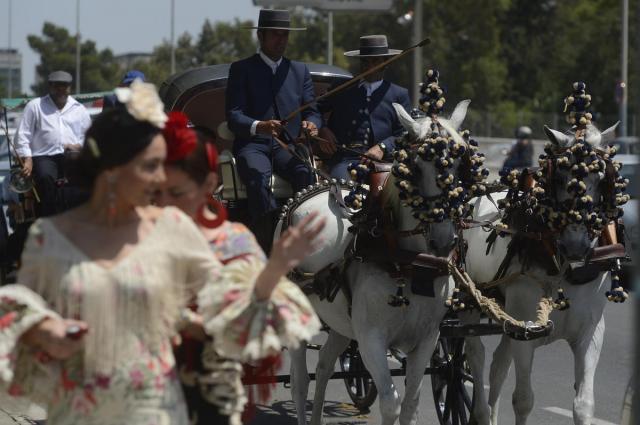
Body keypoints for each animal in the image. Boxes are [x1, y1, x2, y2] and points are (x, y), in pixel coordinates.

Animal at [278, 100, 482, 424]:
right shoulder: (371, 339)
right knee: (300, 382)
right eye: (415, 167)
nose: (443, 239)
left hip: (340, 322)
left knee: (324, 365)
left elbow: (412, 402)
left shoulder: (427, 339)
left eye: (460, 164)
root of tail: (312, 189)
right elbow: (390, 402)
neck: (410, 263)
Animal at [462, 120, 628, 424]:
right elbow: (523, 400)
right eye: (559, 179)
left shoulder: (590, 333)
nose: (576, 246)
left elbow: (583, 404)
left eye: (602, 180)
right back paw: (480, 411)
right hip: (469, 301)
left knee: (498, 366)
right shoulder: (526, 332)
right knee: (475, 354)